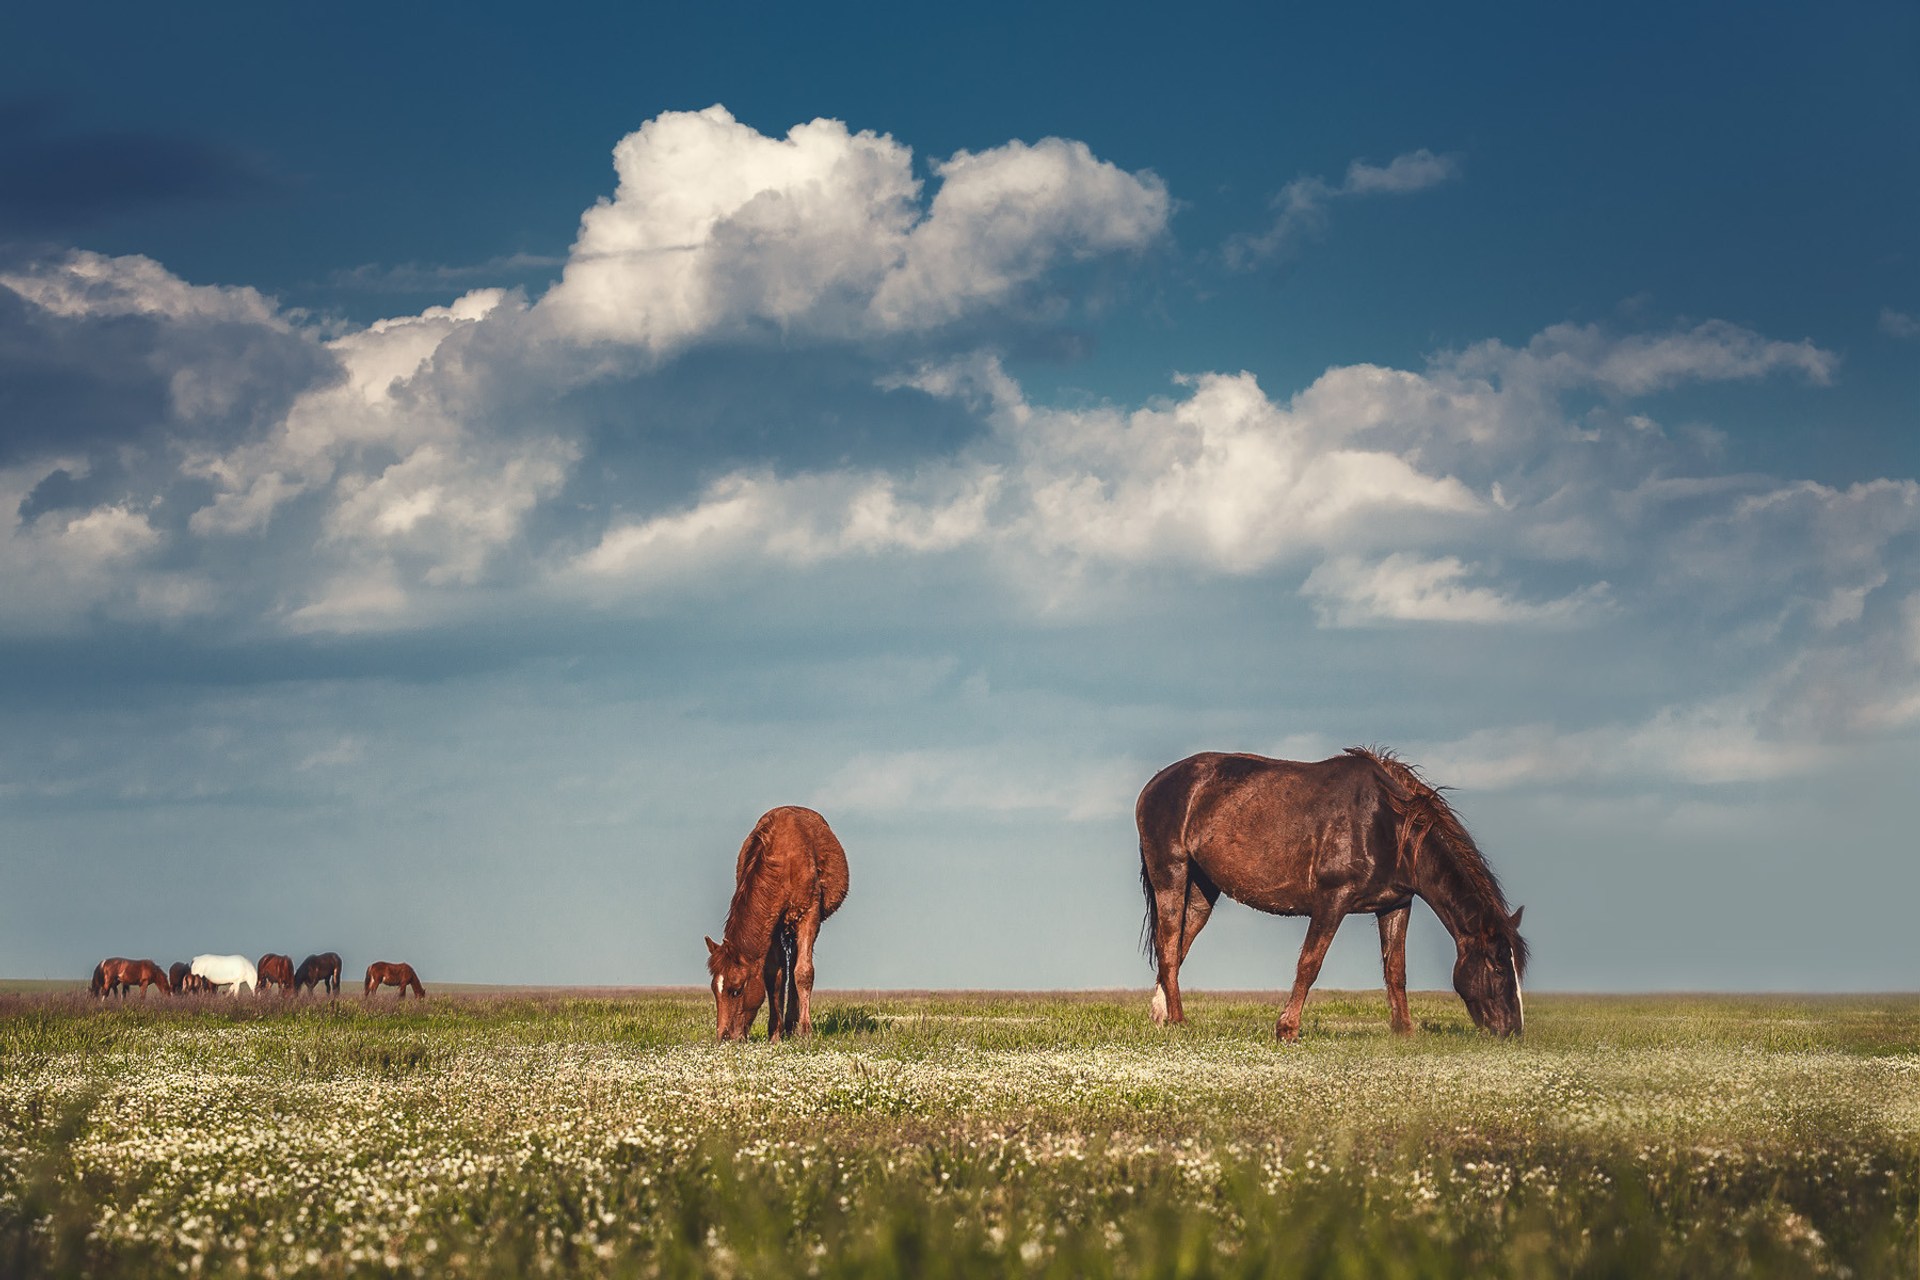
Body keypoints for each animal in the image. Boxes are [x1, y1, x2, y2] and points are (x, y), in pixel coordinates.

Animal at [706, 809, 848, 1043]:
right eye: (714, 990)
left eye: (736, 990)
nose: (724, 1038)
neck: (782, 863)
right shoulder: (771, 927)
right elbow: (774, 976)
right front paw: (775, 1032)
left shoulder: (809, 915)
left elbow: (804, 972)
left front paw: (805, 1031)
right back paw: (787, 1025)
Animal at [1136, 752, 1528, 1043]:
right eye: (1497, 966)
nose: (1512, 1031)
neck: (1387, 826)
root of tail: (1154, 784)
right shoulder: (1332, 899)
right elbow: (1310, 964)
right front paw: (1287, 1029)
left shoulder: (1396, 904)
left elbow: (1395, 969)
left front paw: (1404, 1030)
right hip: (1171, 873)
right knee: (1168, 946)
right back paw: (1178, 1021)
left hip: (1202, 891)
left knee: (1178, 948)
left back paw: (1160, 1015)